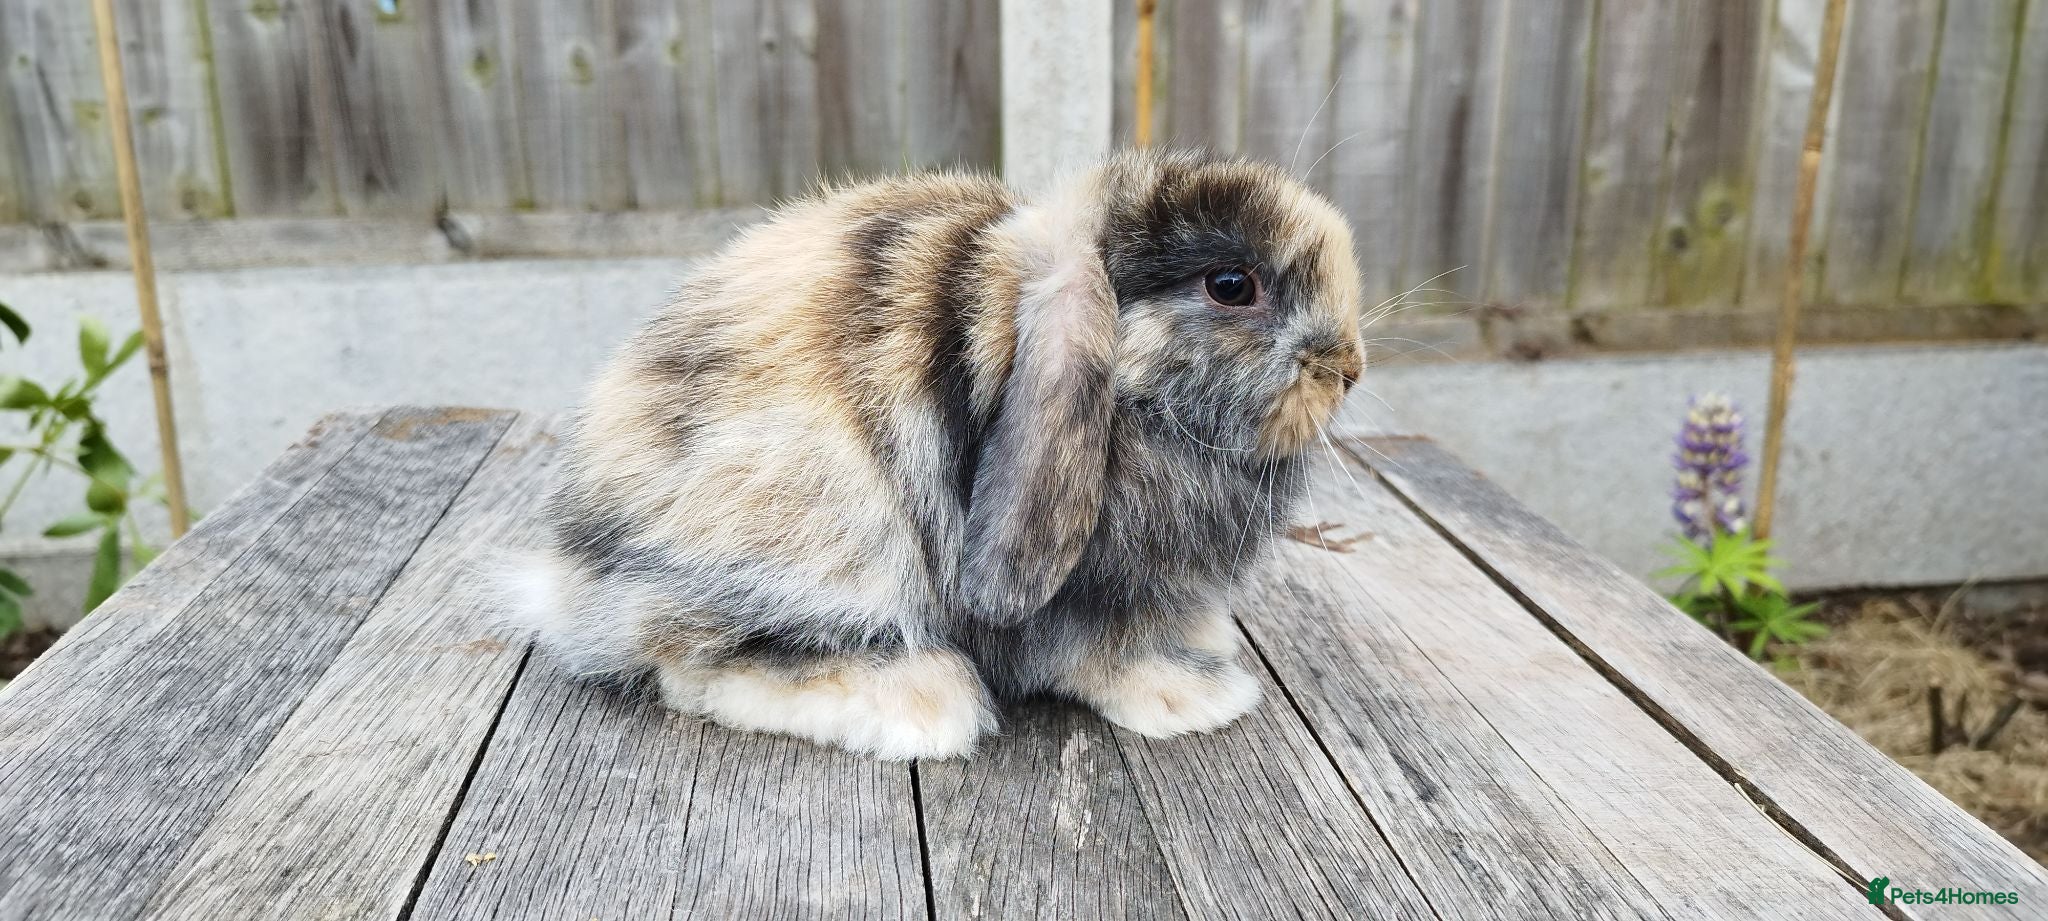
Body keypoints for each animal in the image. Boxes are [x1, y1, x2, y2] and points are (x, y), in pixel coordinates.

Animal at [510, 149, 1364, 760]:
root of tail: (566, 568)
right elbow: (1103, 650)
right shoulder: (1088, 591)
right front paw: (1194, 698)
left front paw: (1207, 648)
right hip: (821, 536)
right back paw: (922, 700)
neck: (1135, 399)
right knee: (694, 660)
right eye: (1232, 284)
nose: (1348, 367)